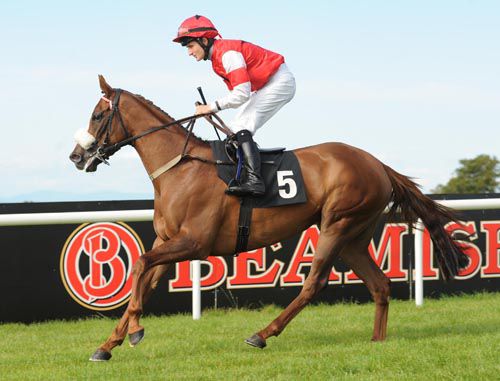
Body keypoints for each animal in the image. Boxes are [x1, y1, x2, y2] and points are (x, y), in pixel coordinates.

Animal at [69, 75, 464, 360]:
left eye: (98, 115)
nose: (76, 156)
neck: (181, 168)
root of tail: (378, 163)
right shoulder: (168, 241)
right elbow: (144, 279)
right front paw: (108, 344)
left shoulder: (194, 243)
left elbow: (138, 265)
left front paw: (134, 332)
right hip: (353, 235)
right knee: (380, 284)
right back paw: (377, 342)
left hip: (337, 225)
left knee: (313, 284)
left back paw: (262, 334)